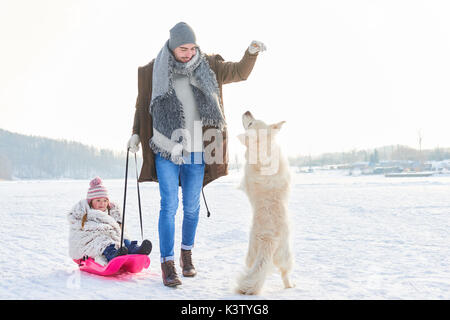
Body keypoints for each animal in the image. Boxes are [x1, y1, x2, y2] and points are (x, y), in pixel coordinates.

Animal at [236, 110, 296, 296]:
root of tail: (268, 239)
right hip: (285, 257)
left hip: (254, 255)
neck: (264, 149)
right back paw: (290, 286)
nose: (247, 111)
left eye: (250, 123)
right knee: (284, 273)